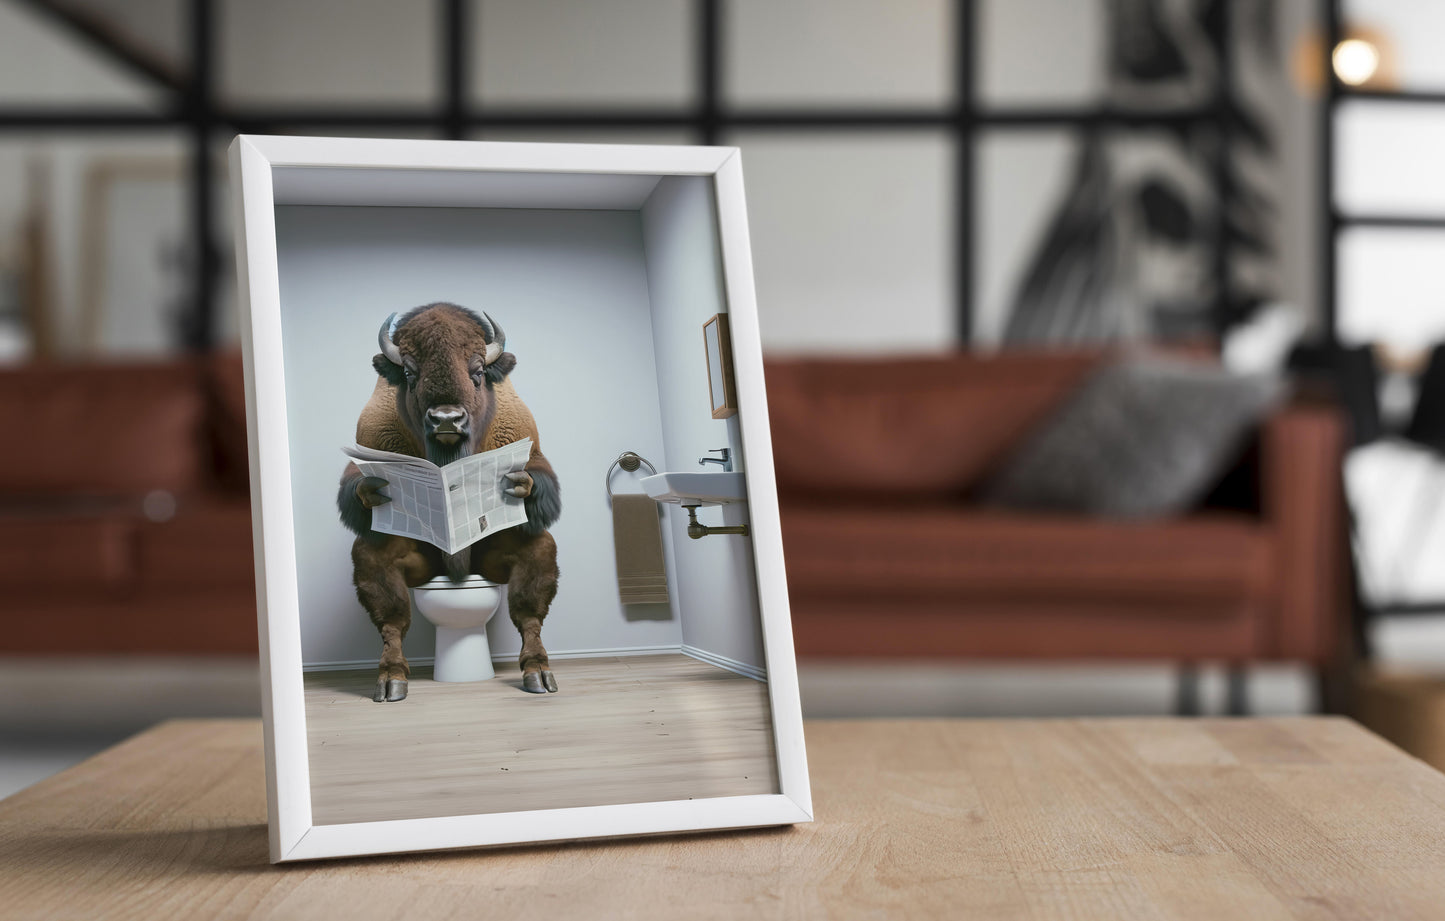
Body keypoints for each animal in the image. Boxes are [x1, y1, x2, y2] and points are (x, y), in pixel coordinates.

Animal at [339, 302, 563, 696]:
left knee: (528, 608)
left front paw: (517, 483)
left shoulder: (527, 441)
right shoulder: (368, 441)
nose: (447, 419)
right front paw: (376, 489)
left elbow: (539, 477)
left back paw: (538, 674)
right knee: (393, 615)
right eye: (409, 372)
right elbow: (356, 485)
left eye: (477, 372)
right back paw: (391, 680)